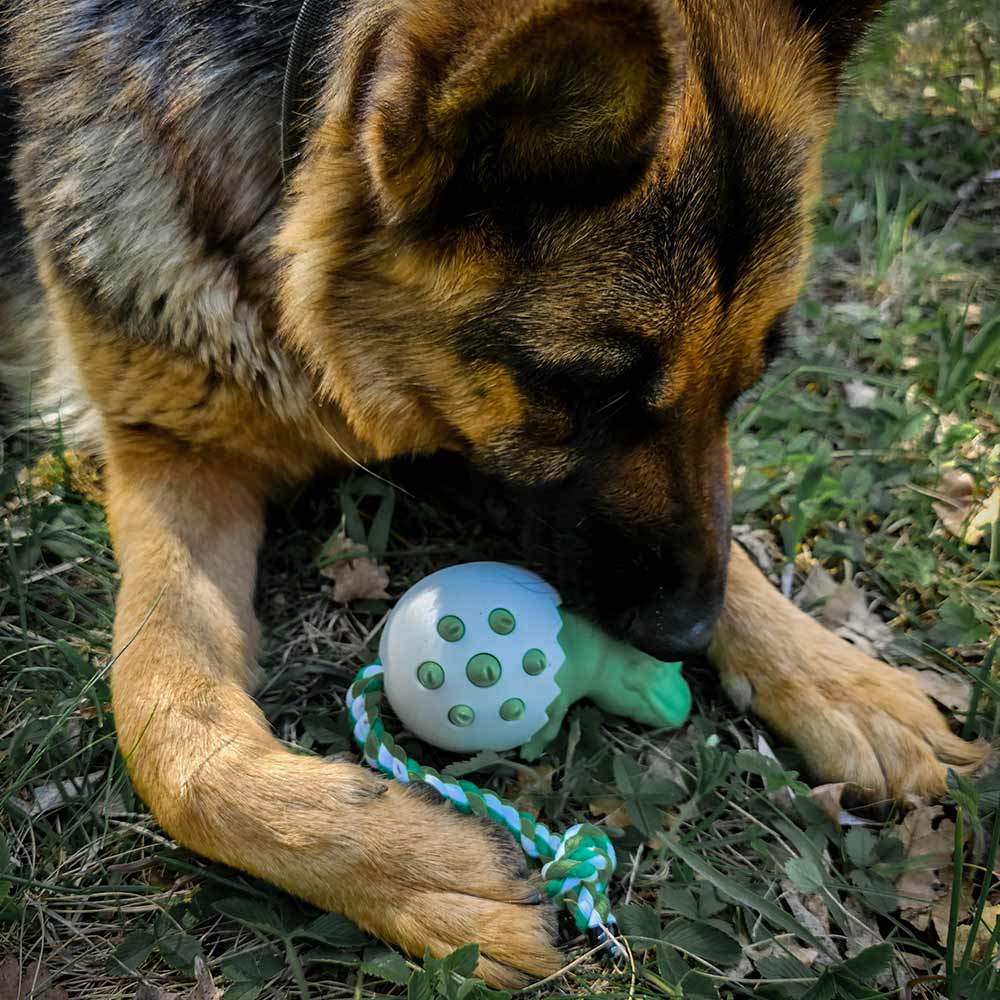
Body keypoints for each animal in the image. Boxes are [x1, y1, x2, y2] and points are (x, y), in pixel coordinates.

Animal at [0, 0, 984, 984]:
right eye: (586, 389)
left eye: (750, 383)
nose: (685, 635)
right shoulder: (172, 448)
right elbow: (166, 727)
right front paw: (416, 869)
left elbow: (727, 540)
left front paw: (838, 678)